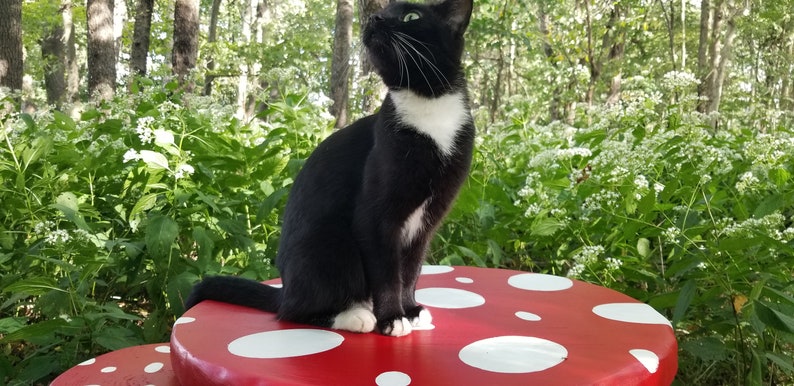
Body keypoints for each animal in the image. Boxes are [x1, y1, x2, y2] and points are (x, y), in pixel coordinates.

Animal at [183, 0, 474, 336]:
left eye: (411, 16)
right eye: (385, 10)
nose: (374, 18)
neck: (428, 107)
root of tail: (285, 287)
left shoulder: (426, 223)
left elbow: (411, 270)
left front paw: (411, 310)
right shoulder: (374, 218)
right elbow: (388, 273)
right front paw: (392, 317)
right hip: (333, 245)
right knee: (292, 310)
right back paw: (354, 315)